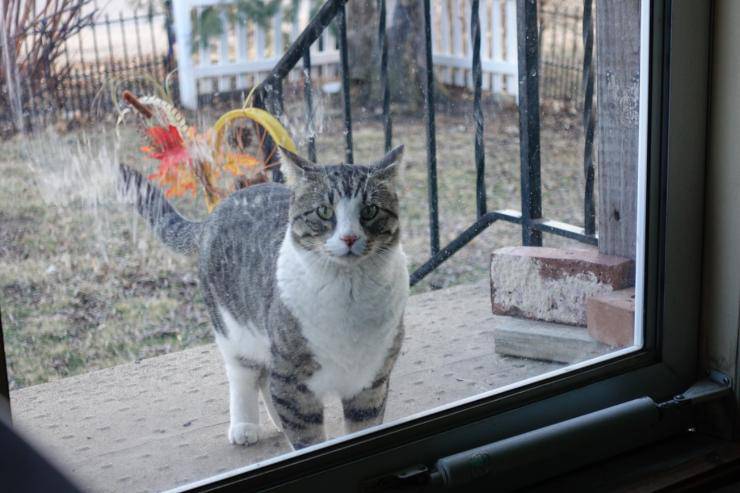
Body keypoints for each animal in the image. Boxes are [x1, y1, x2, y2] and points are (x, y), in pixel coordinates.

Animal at [121, 144, 410, 448]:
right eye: (323, 211)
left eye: (369, 210)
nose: (349, 238)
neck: (350, 295)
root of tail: (215, 212)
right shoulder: (293, 380)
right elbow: (305, 433)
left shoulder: (372, 380)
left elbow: (364, 424)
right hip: (234, 331)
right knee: (245, 374)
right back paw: (245, 425)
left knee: (265, 376)